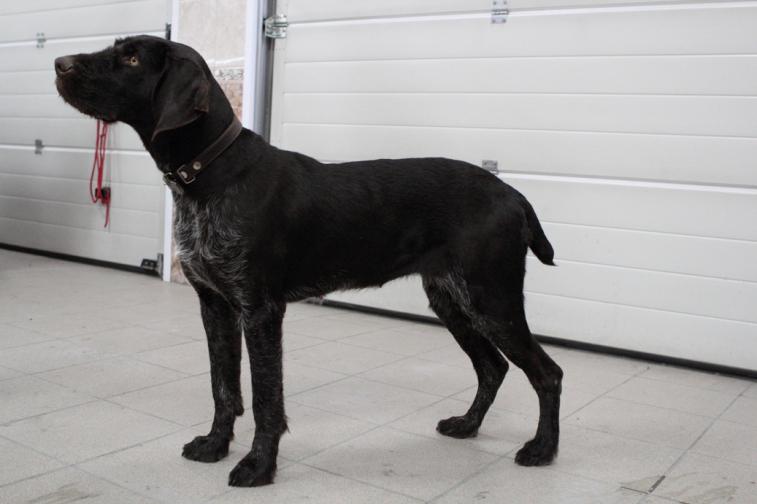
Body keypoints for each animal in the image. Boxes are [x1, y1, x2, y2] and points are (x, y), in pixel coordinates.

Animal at [55, 35, 563, 487]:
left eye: (132, 58)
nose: (59, 63)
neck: (211, 174)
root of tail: (512, 193)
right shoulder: (215, 306)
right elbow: (224, 388)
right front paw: (216, 445)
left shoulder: (260, 310)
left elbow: (265, 400)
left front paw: (258, 467)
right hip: (452, 301)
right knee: (492, 368)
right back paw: (468, 425)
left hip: (490, 299)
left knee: (547, 373)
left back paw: (543, 449)